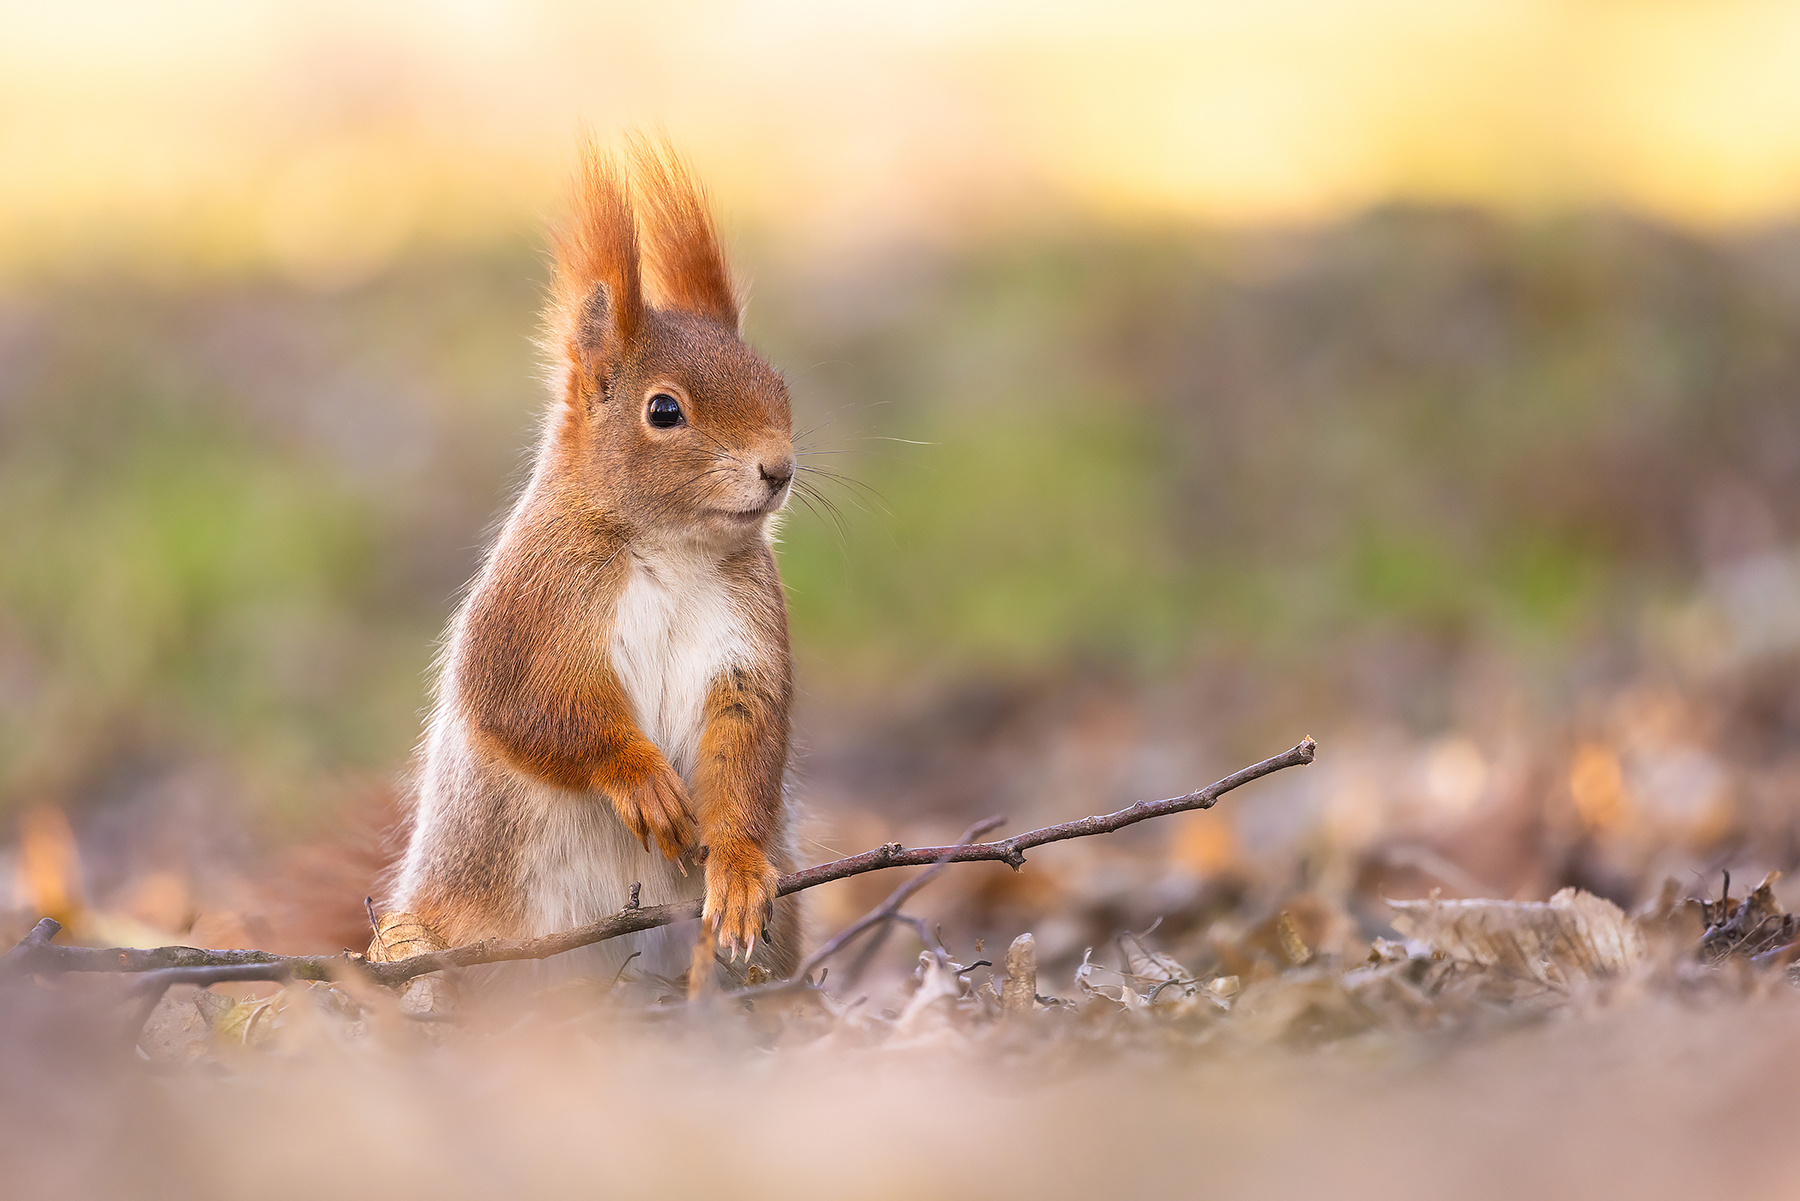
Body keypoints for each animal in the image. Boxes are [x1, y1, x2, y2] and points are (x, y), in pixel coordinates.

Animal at [376, 138, 802, 991]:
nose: (779, 468)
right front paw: (640, 779)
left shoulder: (748, 639)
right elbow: (532, 707)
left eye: (778, 383)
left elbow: (748, 746)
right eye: (664, 410)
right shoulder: (533, 602)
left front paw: (741, 871)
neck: (672, 548)